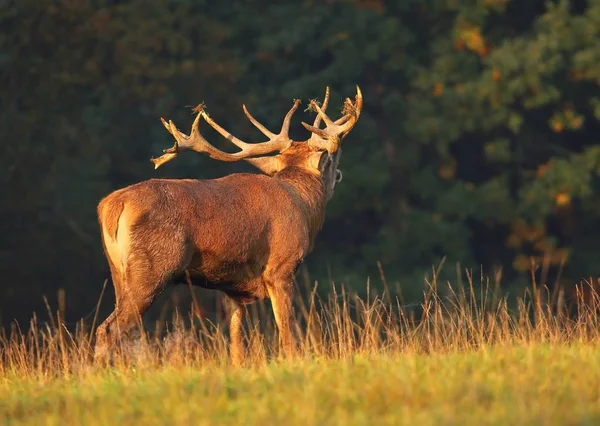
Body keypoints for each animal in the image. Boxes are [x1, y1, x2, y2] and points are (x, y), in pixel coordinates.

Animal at [96, 85, 364, 362]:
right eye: (333, 159)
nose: (339, 174)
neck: (304, 205)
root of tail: (112, 205)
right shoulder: (281, 267)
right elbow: (287, 334)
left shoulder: (233, 288)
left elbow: (236, 345)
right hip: (152, 267)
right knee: (110, 329)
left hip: (118, 272)